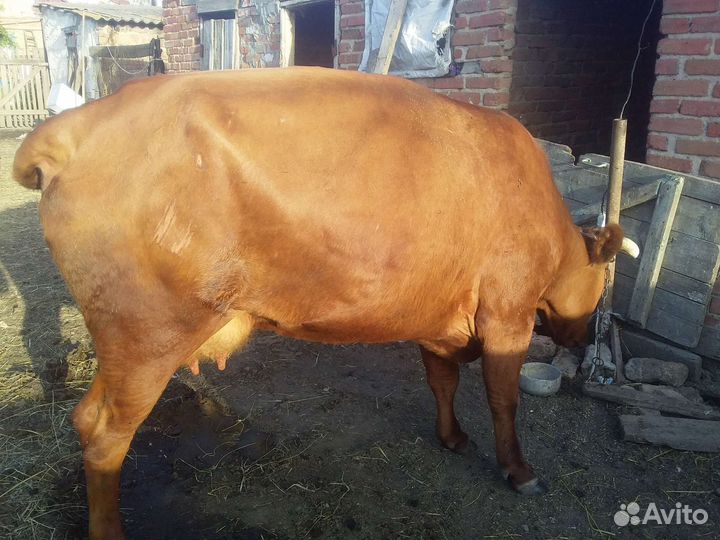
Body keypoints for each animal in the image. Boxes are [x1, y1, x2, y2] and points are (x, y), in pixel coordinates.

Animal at [13, 67, 638, 540]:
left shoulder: (438, 318)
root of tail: (79, 123)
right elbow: (504, 401)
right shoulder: (508, 315)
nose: (585, 333)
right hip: (149, 336)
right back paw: (110, 531)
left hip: (126, 341)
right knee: (105, 435)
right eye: (600, 280)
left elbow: (442, 381)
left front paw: (452, 437)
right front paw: (519, 470)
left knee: (84, 417)